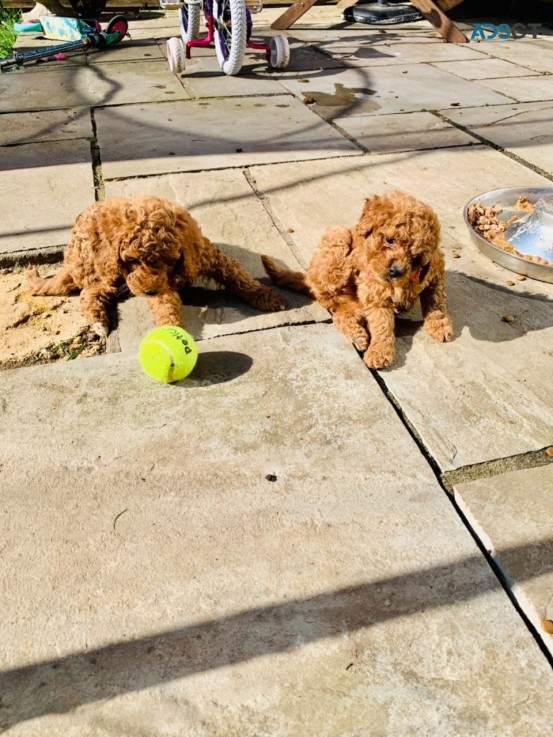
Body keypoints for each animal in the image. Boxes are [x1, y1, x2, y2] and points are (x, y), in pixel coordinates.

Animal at [25, 194, 284, 334]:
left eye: (167, 261)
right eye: (131, 260)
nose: (148, 291)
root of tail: (70, 257)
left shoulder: (204, 255)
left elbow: (236, 274)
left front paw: (265, 295)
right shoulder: (153, 283)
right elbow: (165, 305)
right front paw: (172, 329)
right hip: (104, 269)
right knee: (88, 292)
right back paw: (98, 322)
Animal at [260, 191, 450, 368]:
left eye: (415, 258)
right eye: (389, 240)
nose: (395, 271)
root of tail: (308, 277)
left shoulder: (436, 271)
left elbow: (436, 301)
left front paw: (439, 325)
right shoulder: (376, 295)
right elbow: (382, 324)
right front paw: (379, 351)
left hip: (347, 306)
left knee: (339, 318)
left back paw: (357, 336)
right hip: (337, 234)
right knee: (333, 273)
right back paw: (354, 258)